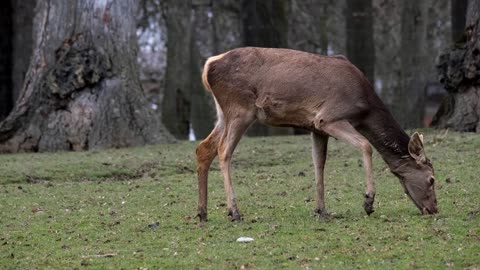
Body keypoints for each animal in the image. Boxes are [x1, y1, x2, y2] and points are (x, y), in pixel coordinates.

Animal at [196, 47, 438, 223]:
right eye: (431, 179)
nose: (434, 208)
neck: (365, 108)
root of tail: (208, 67)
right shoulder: (329, 117)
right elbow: (365, 145)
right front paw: (368, 202)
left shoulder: (315, 127)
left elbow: (319, 163)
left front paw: (321, 210)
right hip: (240, 108)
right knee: (223, 150)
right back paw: (234, 211)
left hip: (224, 113)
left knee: (204, 148)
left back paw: (202, 212)